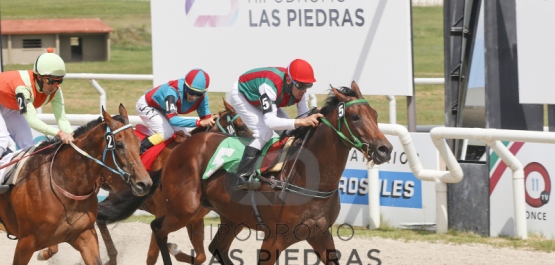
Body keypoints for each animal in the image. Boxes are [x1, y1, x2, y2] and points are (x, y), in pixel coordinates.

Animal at [39, 99, 254, 264]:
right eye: (241, 126)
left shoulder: (194, 219)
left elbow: (200, 256)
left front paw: (175, 249)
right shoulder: (163, 214)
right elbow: (152, 256)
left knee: (99, 218)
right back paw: (48, 250)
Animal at [101, 81, 390, 262]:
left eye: (376, 114)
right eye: (355, 117)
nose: (385, 149)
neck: (310, 178)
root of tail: (179, 150)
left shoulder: (320, 234)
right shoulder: (274, 240)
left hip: (231, 217)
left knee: (215, 247)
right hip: (185, 209)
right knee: (157, 229)